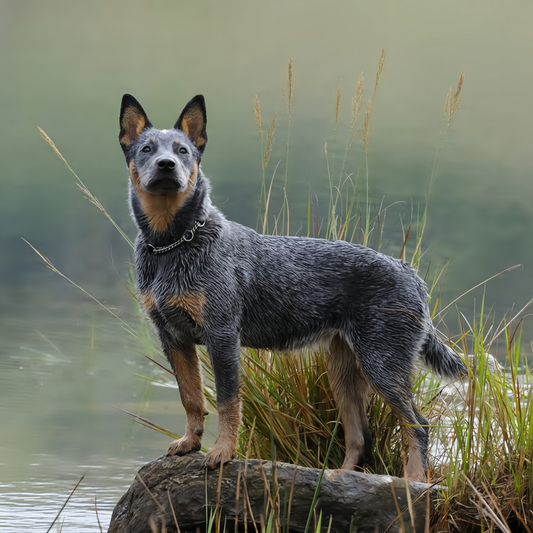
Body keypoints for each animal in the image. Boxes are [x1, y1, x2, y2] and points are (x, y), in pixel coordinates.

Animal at [117, 93, 466, 480]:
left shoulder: (222, 336)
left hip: (383, 364)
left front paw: (222, 451)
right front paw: (190, 442)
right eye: (147, 149)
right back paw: (339, 477)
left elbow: (226, 401)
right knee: (360, 435)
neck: (173, 245)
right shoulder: (173, 337)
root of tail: (411, 273)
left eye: (183, 150)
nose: (166, 165)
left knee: (417, 424)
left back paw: (414, 481)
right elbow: (190, 397)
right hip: (344, 370)